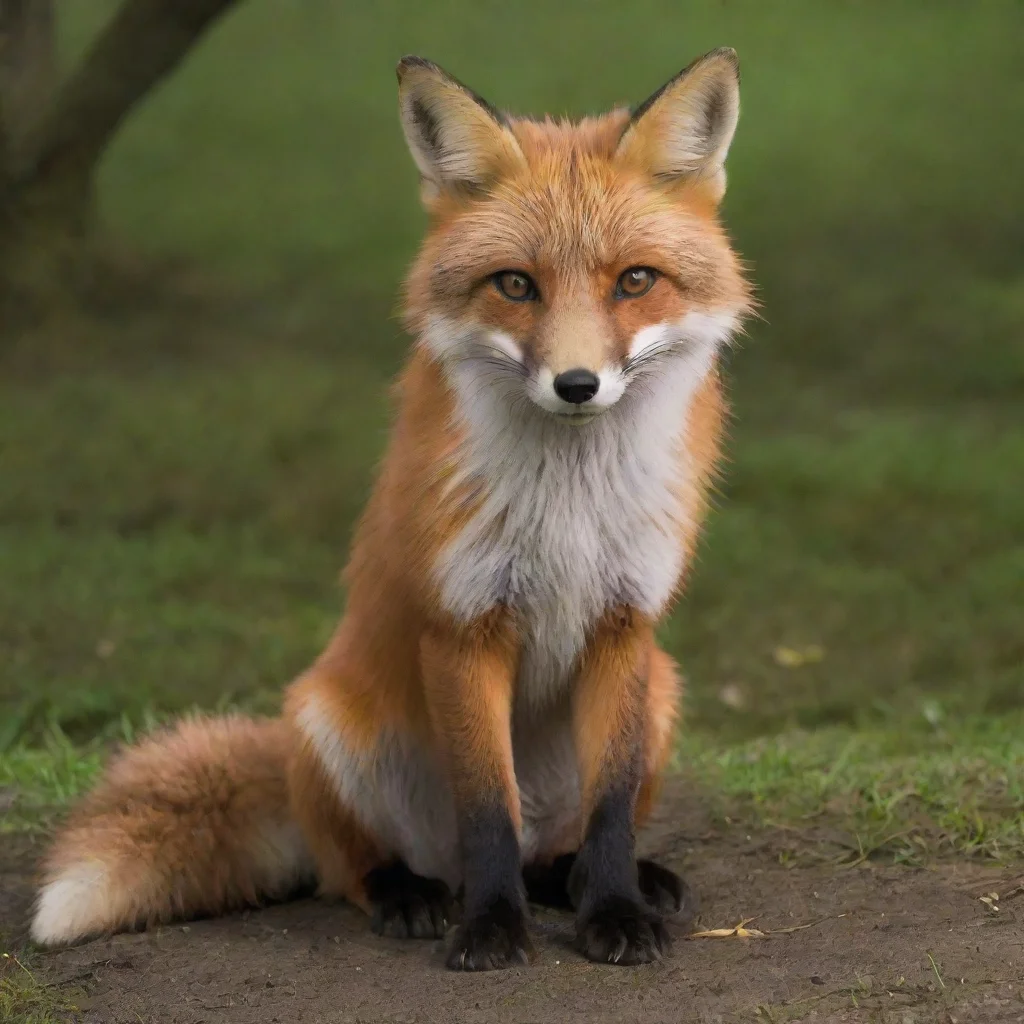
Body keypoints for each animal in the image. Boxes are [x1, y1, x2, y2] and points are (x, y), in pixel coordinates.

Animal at [30, 48, 753, 970]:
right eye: (515, 284)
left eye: (634, 282)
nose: (577, 385)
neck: (569, 509)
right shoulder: (463, 626)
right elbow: (486, 807)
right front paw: (491, 929)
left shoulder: (626, 625)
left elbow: (613, 809)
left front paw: (616, 913)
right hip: (323, 723)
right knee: (361, 866)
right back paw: (412, 894)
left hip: (663, 689)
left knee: (553, 850)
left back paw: (589, 882)